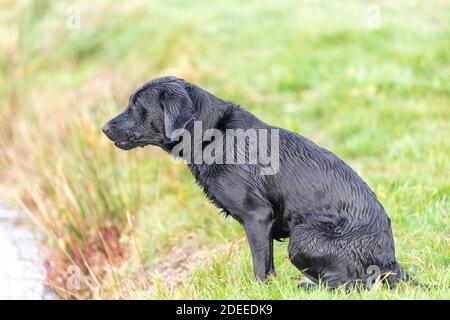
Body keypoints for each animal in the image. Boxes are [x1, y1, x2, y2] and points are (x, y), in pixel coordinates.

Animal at [103, 76, 414, 288]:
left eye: (136, 106)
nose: (103, 127)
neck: (212, 136)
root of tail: (391, 263)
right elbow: (269, 266)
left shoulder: (257, 216)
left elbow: (260, 267)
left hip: (303, 236)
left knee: (350, 283)